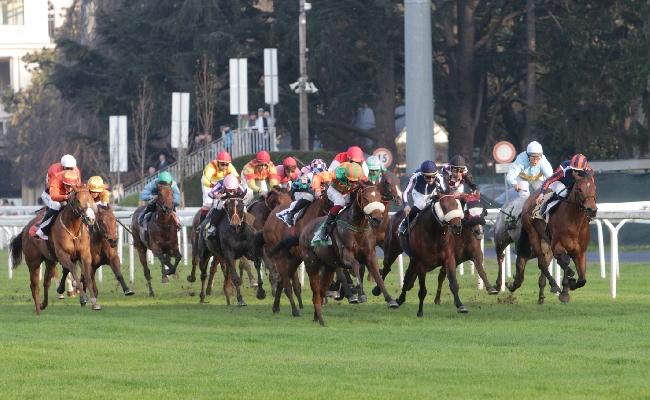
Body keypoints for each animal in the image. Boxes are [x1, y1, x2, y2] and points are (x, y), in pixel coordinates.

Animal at [8, 186, 98, 314]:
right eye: (78, 201)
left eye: (92, 199)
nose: (90, 219)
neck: (73, 230)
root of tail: (25, 228)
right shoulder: (62, 254)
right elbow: (73, 269)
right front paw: (83, 297)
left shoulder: (85, 255)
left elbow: (87, 276)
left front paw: (95, 302)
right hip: (33, 262)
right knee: (34, 286)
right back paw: (38, 310)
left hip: (50, 261)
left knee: (46, 282)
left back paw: (43, 304)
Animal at [508, 173, 596, 304]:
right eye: (579, 189)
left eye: (595, 188)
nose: (592, 210)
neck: (575, 222)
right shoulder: (558, 246)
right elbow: (565, 260)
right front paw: (564, 292)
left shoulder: (580, 253)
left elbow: (582, 280)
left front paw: (571, 283)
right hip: (533, 235)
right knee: (542, 263)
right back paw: (554, 285)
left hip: (546, 241)